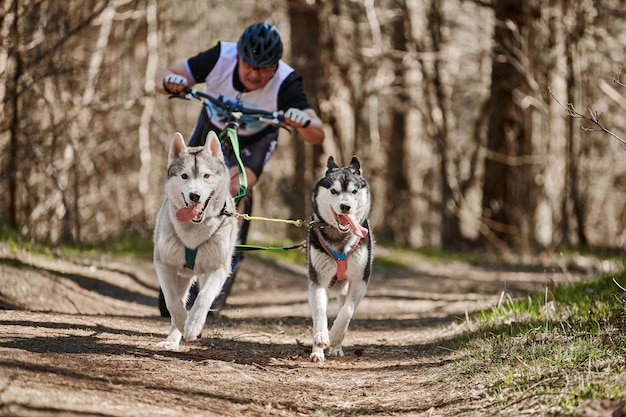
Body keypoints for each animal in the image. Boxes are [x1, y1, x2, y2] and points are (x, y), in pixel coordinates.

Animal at [152, 132, 238, 350]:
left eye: (206, 176)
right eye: (184, 176)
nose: (195, 196)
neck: (193, 232)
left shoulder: (219, 268)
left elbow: (204, 297)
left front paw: (192, 325)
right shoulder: (163, 264)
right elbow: (172, 302)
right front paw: (183, 322)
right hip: (181, 275)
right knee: (179, 298)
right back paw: (172, 340)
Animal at [306, 156, 370, 360]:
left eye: (354, 191)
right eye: (333, 191)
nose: (345, 206)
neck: (340, 237)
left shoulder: (360, 280)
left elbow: (347, 311)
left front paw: (334, 336)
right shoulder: (317, 279)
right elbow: (320, 311)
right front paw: (321, 337)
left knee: (343, 304)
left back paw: (336, 346)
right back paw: (317, 352)